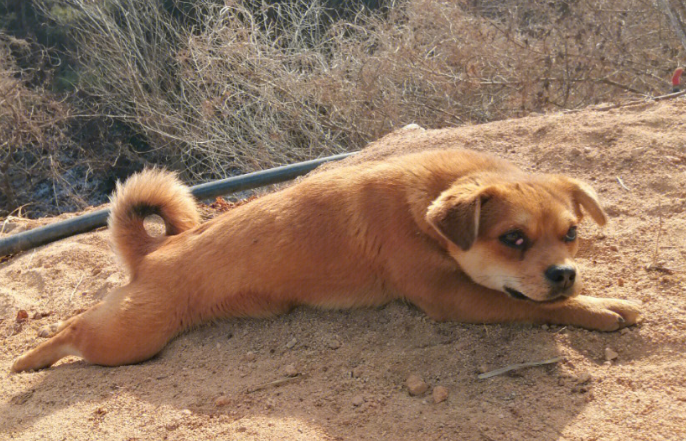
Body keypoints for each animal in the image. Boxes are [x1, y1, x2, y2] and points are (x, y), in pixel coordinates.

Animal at [10, 149, 644, 372]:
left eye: (571, 234)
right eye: (512, 239)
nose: (565, 273)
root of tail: (156, 249)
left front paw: (603, 295)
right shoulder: (456, 298)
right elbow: (543, 308)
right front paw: (597, 308)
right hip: (130, 337)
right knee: (73, 328)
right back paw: (27, 362)